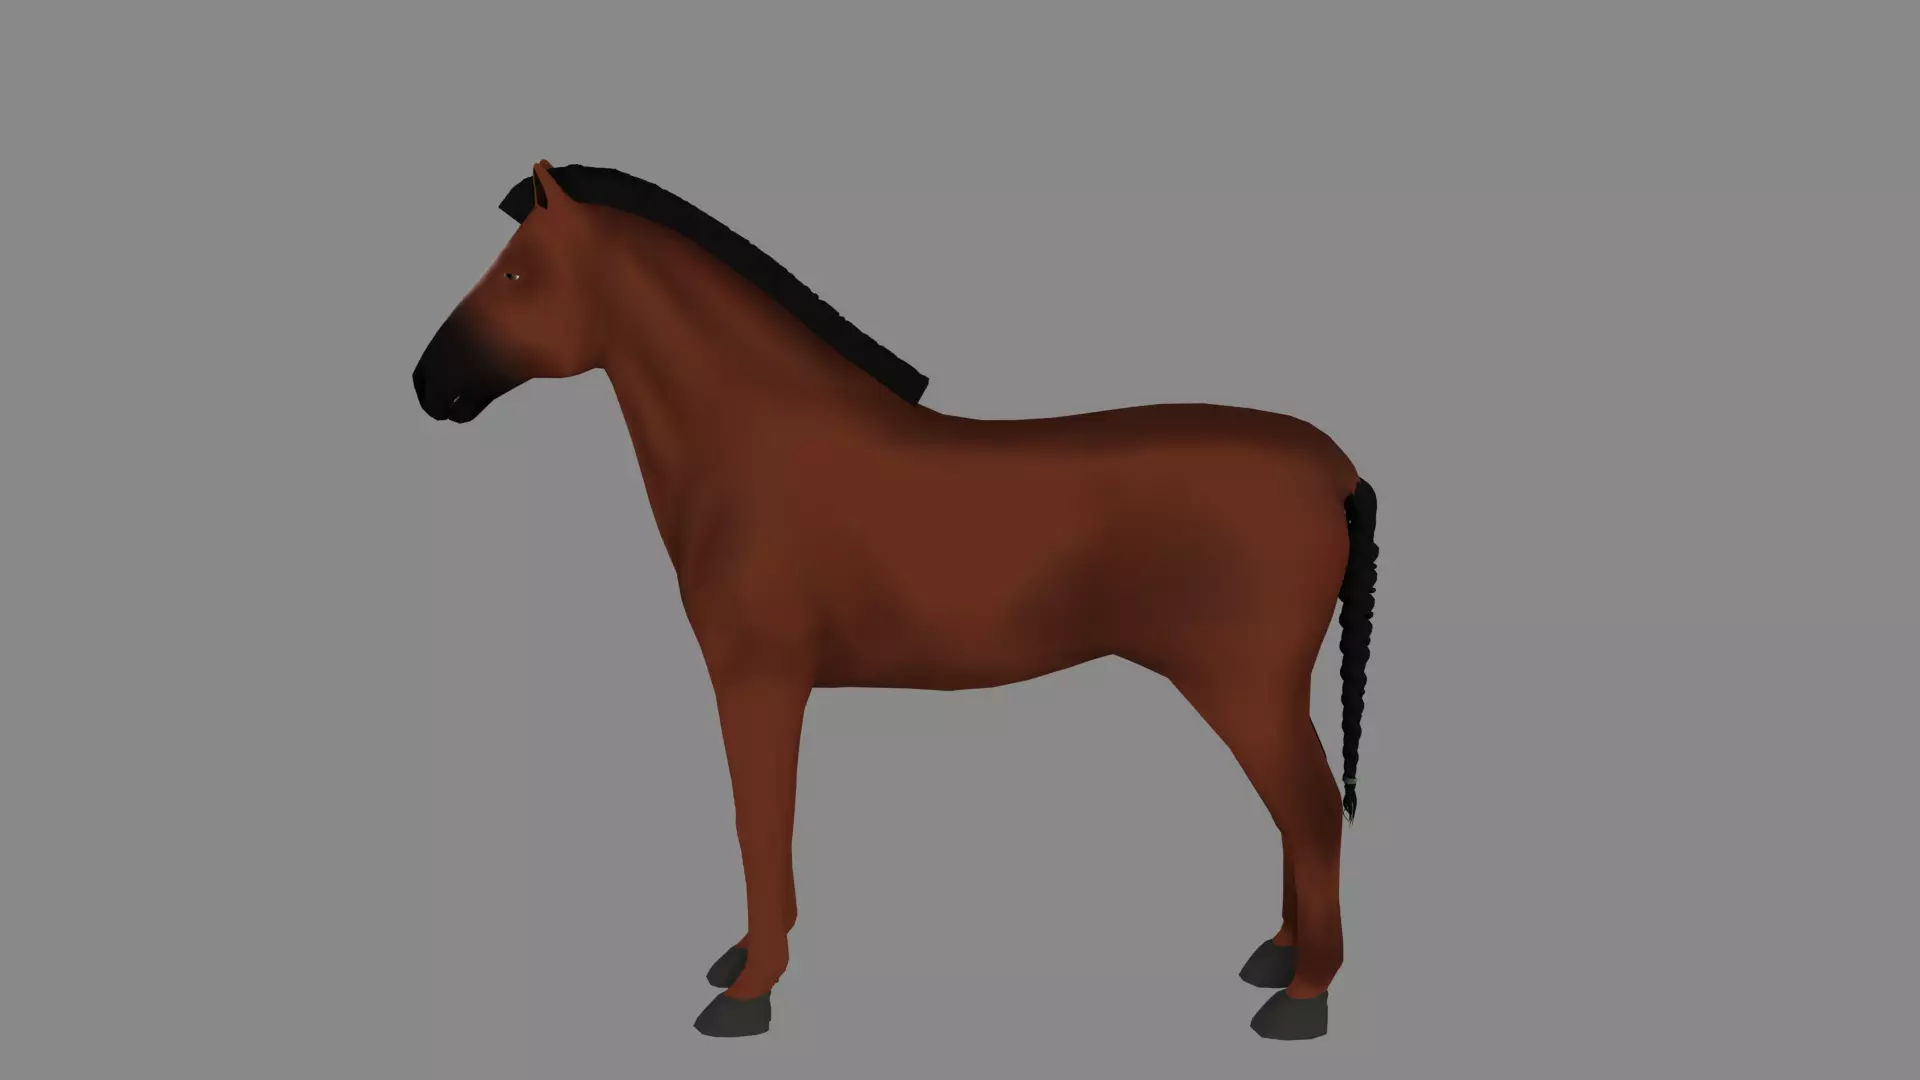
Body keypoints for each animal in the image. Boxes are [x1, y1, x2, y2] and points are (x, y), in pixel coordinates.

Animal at [412, 161, 1380, 1042]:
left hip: (1240, 687)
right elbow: (765, 827)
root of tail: (1335, 470)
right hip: (1263, 691)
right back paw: (1280, 956)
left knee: (1310, 812)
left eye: (515, 273)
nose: (427, 385)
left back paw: (1302, 998)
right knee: (1294, 816)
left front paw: (749, 992)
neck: (758, 445)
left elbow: (759, 822)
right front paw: (748, 958)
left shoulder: (758, 681)